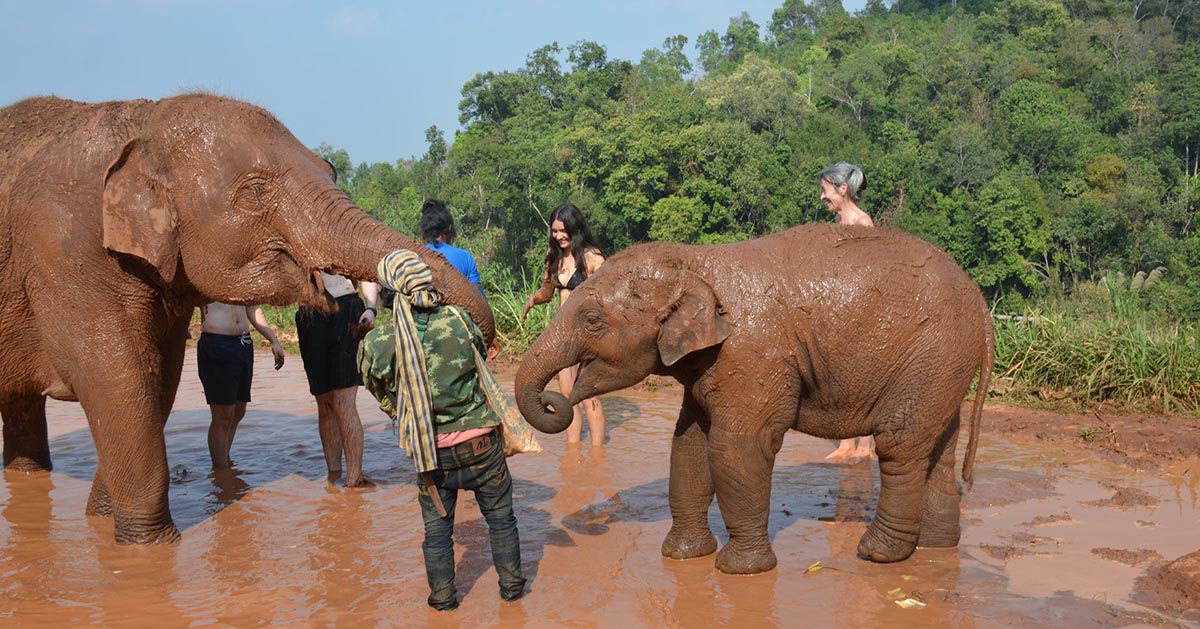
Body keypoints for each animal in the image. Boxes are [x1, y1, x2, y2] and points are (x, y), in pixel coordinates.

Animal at [0, 94, 492, 544]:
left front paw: (102, 521)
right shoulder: (63, 252)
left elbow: (158, 382)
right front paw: (149, 548)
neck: (142, 120)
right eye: (255, 190)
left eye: (330, 171)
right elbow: (116, 381)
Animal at [516, 224, 993, 573]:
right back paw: (934, 547)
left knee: (899, 444)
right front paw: (682, 556)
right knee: (938, 449)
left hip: (934, 352)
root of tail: (983, 306)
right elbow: (688, 444)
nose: (556, 400)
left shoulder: (752, 353)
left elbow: (738, 446)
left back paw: (878, 554)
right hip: (942, 367)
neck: (696, 261)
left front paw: (739, 570)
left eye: (592, 320)